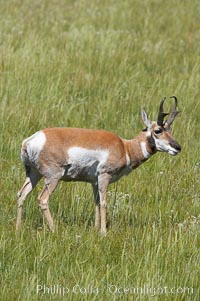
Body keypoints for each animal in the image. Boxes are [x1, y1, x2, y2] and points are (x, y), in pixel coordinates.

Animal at [16, 95, 181, 233]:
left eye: (170, 129)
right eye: (158, 130)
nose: (178, 147)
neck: (125, 147)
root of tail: (30, 140)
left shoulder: (94, 181)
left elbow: (95, 202)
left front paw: (95, 229)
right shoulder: (104, 176)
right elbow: (104, 203)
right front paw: (103, 232)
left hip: (33, 174)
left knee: (21, 194)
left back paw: (18, 228)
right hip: (53, 177)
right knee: (42, 199)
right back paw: (54, 229)